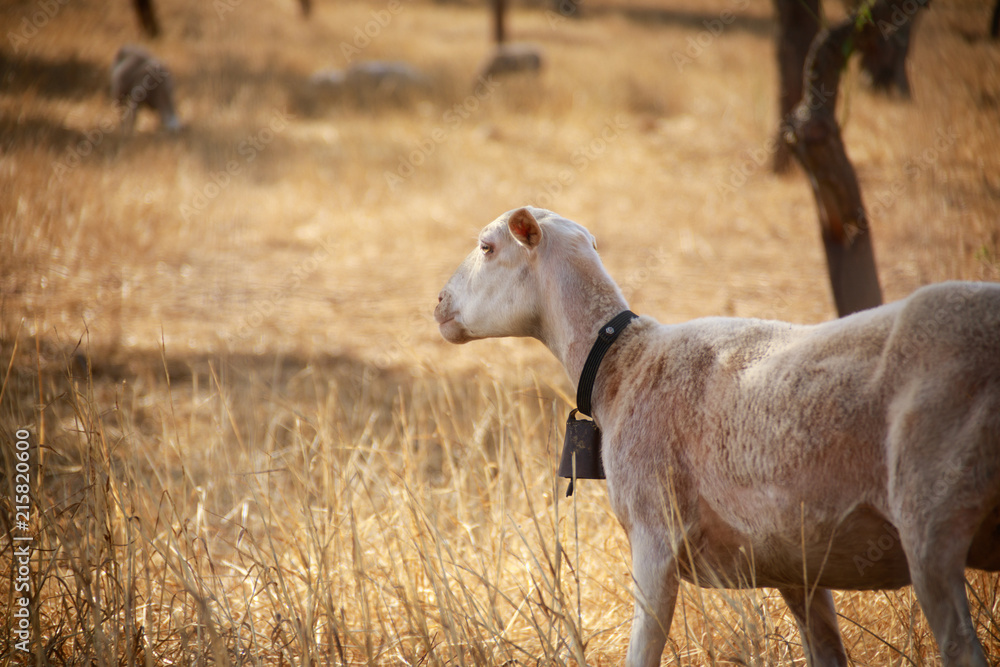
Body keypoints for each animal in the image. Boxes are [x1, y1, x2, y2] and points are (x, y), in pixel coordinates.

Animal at [434, 206, 1000, 667]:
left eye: (487, 247)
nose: (438, 303)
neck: (621, 363)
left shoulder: (654, 536)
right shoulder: (797, 563)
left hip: (932, 517)